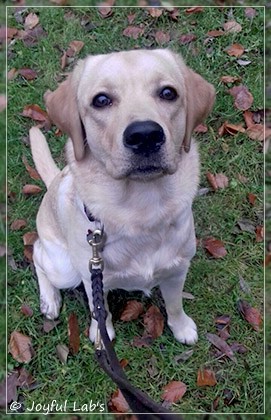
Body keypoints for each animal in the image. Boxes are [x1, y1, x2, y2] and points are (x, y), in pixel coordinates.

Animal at [29, 49, 216, 344]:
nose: (145, 135)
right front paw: (100, 334)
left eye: (168, 93)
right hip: (65, 269)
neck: (141, 207)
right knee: (37, 254)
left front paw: (181, 327)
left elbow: (175, 304)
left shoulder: (177, 270)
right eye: (101, 100)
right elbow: (99, 310)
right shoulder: (93, 276)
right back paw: (49, 300)